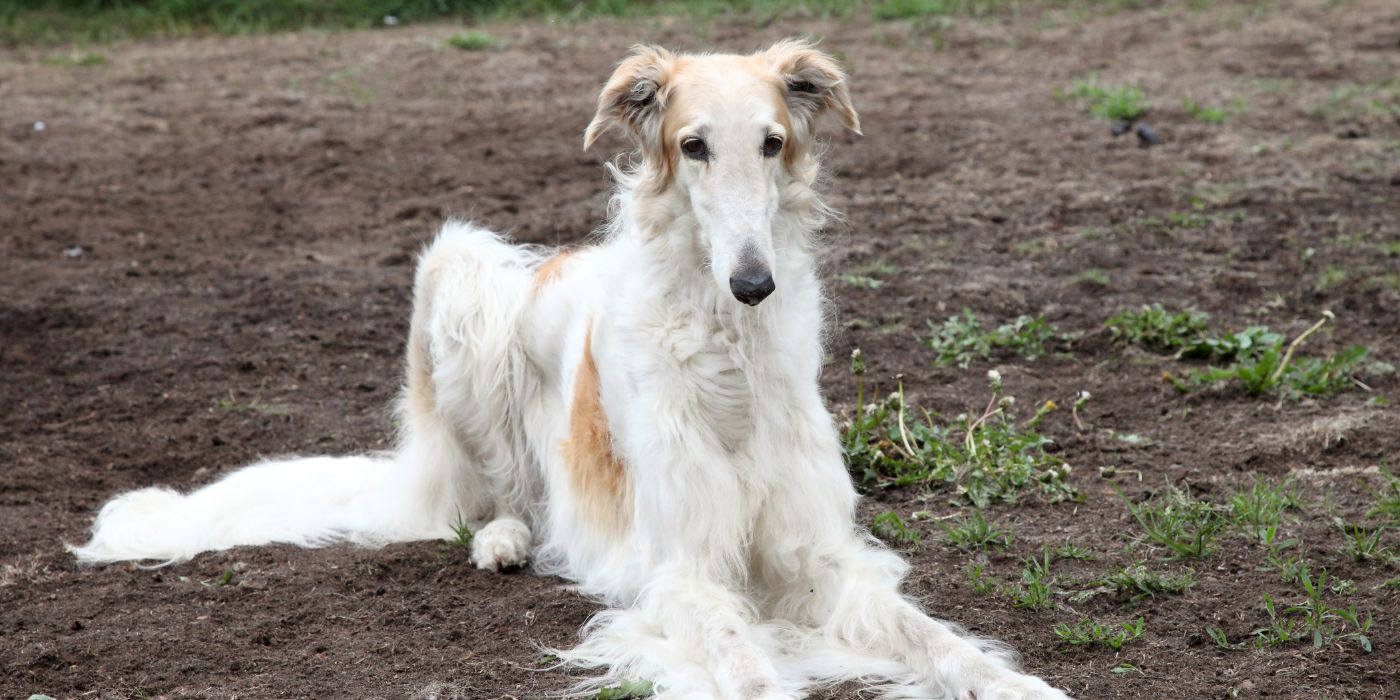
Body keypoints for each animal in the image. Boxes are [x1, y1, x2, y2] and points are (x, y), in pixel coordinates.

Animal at [71, 39, 1064, 700]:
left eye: (774, 142)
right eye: (693, 145)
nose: (752, 283)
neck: (728, 361)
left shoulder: (819, 553)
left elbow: (944, 643)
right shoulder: (684, 570)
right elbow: (749, 671)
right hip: (460, 273)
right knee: (495, 496)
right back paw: (505, 540)